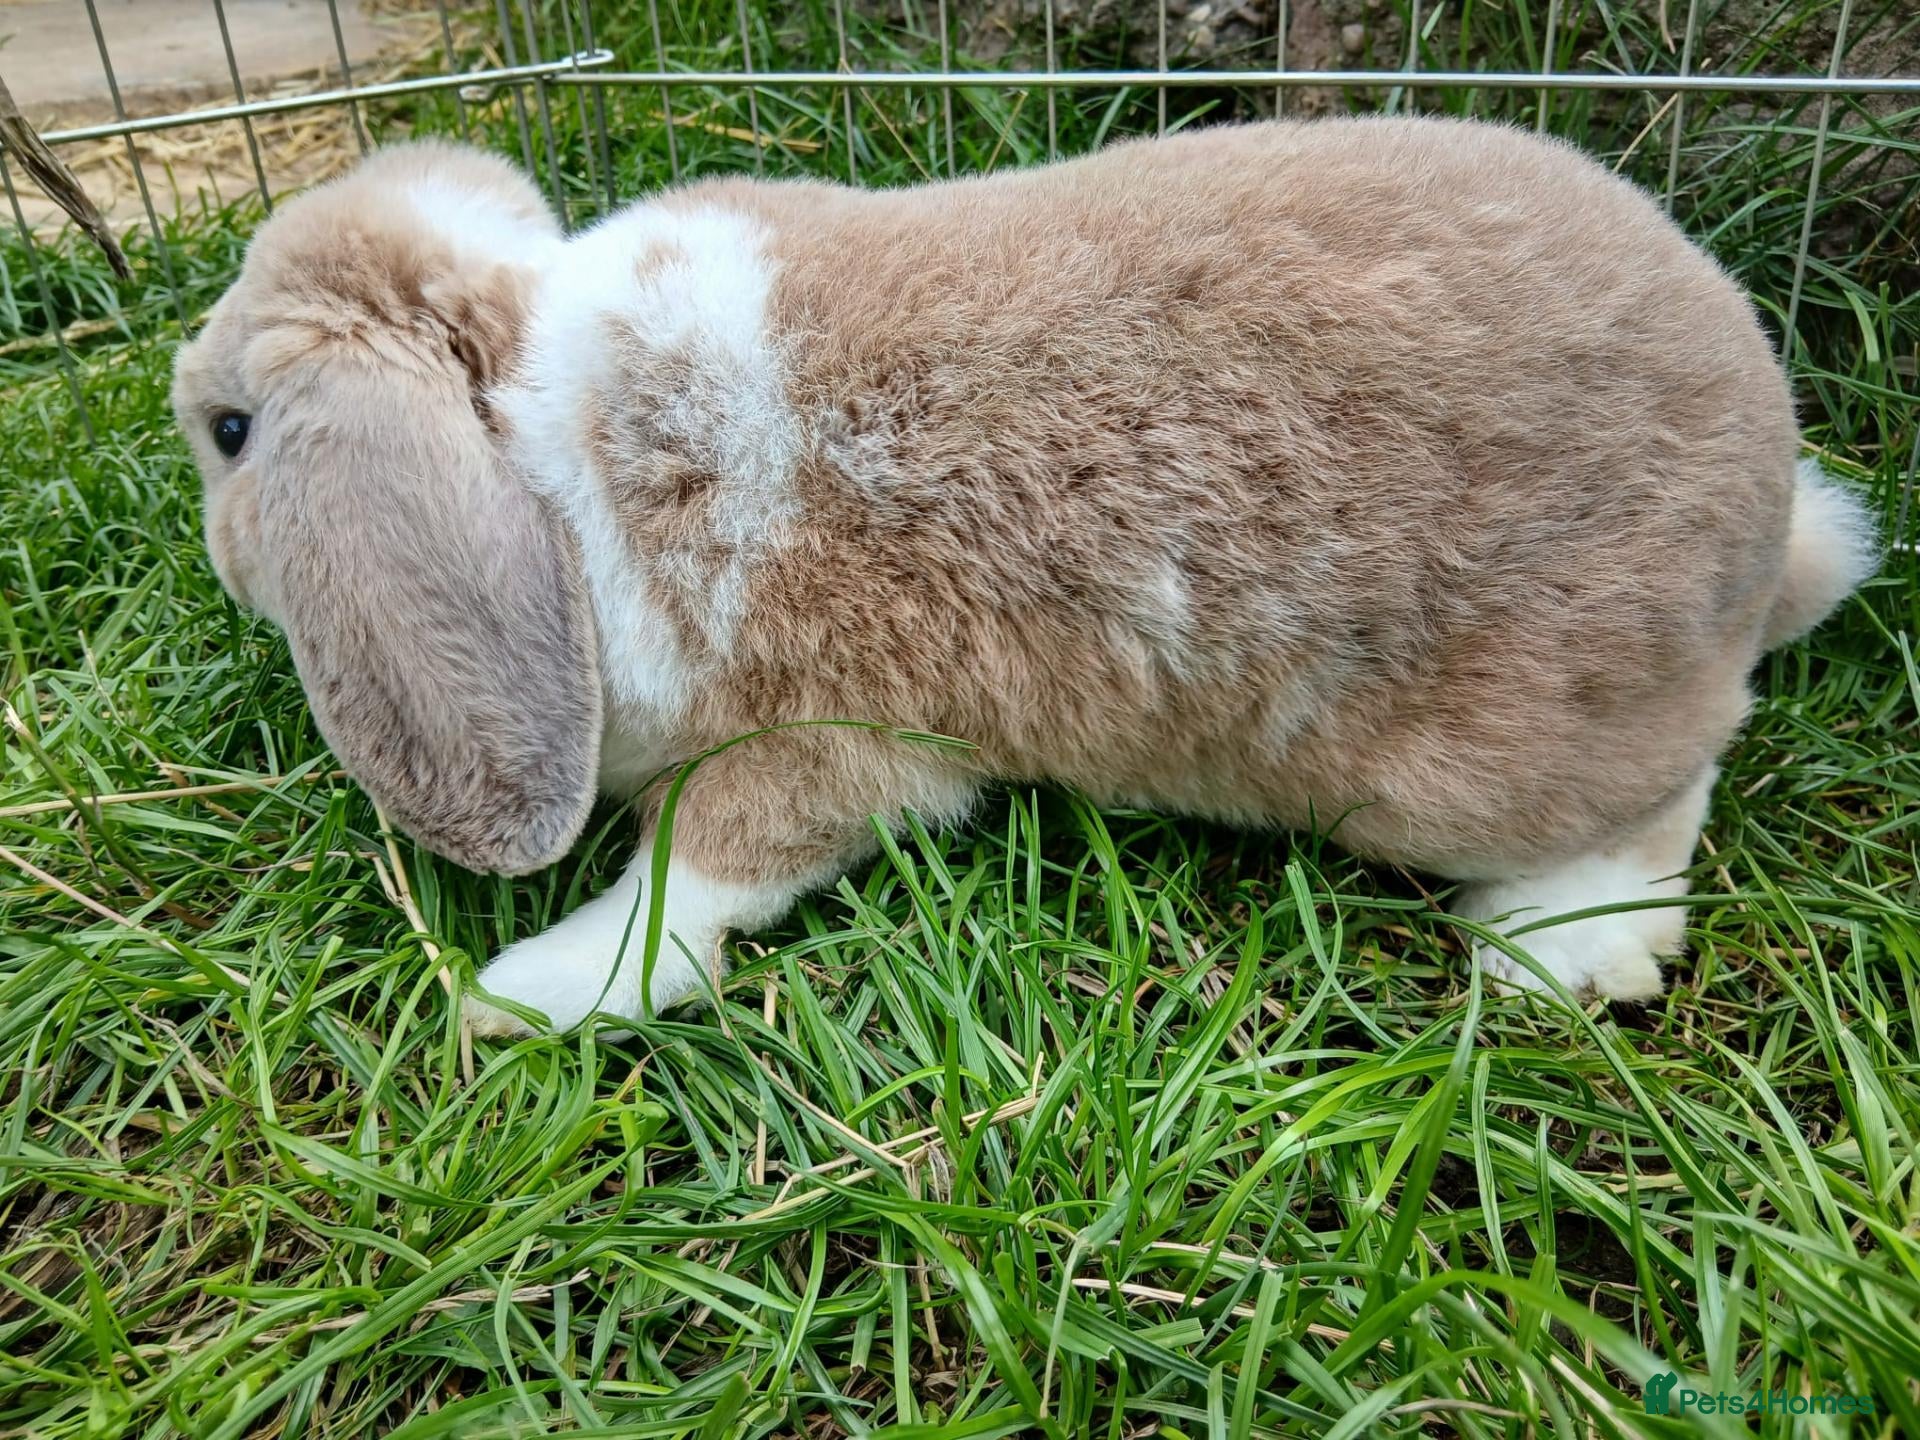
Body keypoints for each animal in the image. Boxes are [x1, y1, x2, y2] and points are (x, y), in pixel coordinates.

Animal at [171, 121, 1877, 1033]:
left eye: (233, 432)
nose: (209, 542)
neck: (535, 435)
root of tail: (1772, 499)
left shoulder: (811, 737)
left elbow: (693, 878)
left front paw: (530, 990)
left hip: (1484, 758)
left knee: (1673, 785)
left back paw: (1568, 949)